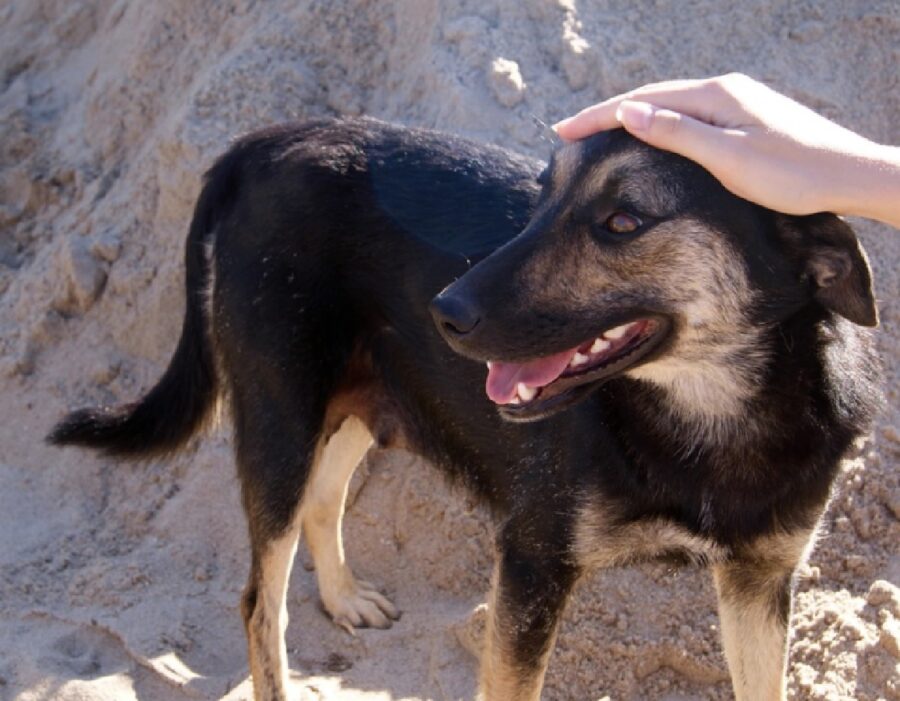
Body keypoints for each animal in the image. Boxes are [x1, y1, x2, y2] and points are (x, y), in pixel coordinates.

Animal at [49, 120, 880, 700]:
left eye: (624, 221)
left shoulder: (760, 582)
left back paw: (345, 598)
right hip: (280, 413)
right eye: (542, 197)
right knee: (261, 600)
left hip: (364, 398)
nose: (445, 311)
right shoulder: (532, 564)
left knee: (324, 498)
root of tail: (266, 141)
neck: (715, 416)